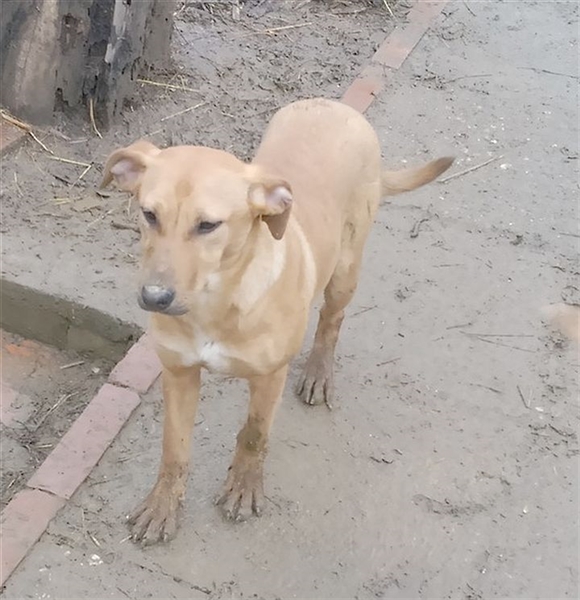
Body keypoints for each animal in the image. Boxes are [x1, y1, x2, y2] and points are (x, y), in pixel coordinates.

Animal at [101, 98, 454, 545]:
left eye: (208, 225)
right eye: (149, 215)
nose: (154, 298)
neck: (217, 303)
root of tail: (333, 104)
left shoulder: (270, 376)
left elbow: (254, 434)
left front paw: (243, 488)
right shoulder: (178, 373)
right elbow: (174, 449)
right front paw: (163, 507)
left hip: (346, 268)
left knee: (332, 320)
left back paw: (319, 372)